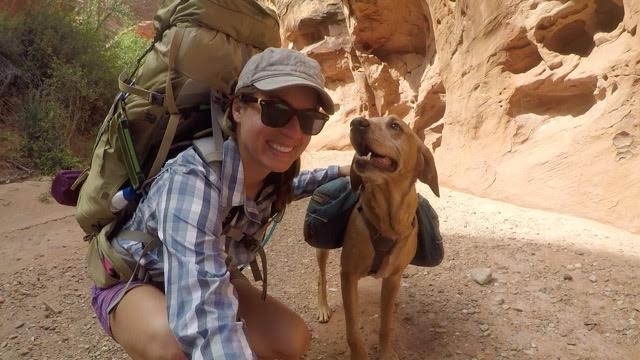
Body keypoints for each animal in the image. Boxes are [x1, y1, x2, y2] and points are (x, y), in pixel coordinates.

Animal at [316, 115, 440, 360]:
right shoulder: (348, 275)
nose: (356, 122)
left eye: (395, 125)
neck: (387, 218)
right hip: (321, 248)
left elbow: (386, 323)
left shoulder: (392, 278)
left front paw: (386, 353)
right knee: (321, 276)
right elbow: (353, 331)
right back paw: (323, 308)